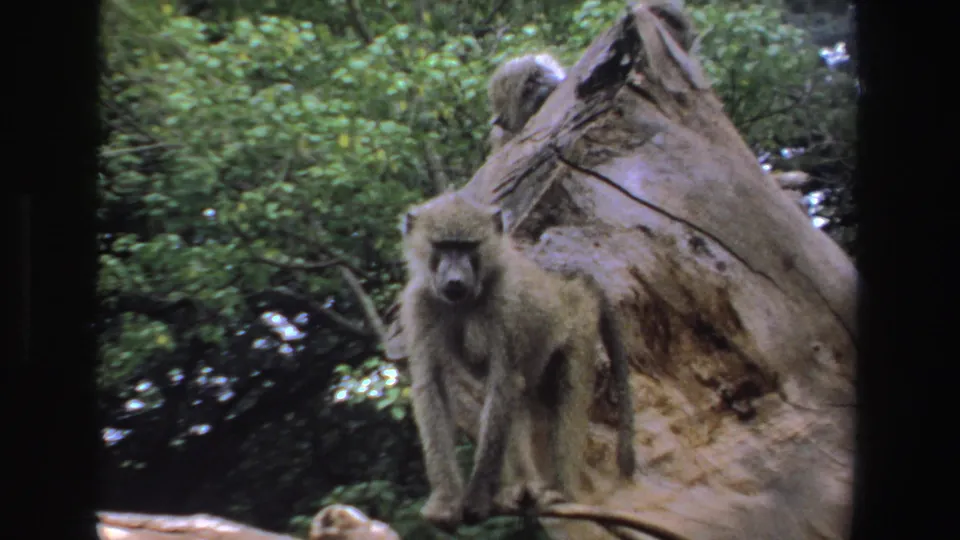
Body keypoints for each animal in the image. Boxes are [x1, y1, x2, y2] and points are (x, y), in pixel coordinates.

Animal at [399, 191, 636, 531]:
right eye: (443, 246)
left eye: (467, 247)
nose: (454, 280)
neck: (467, 301)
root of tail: (567, 285)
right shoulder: (420, 305)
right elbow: (432, 387)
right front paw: (446, 502)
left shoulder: (507, 305)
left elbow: (503, 382)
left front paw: (476, 500)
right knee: (518, 401)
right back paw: (520, 489)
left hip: (580, 326)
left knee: (566, 398)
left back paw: (560, 494)